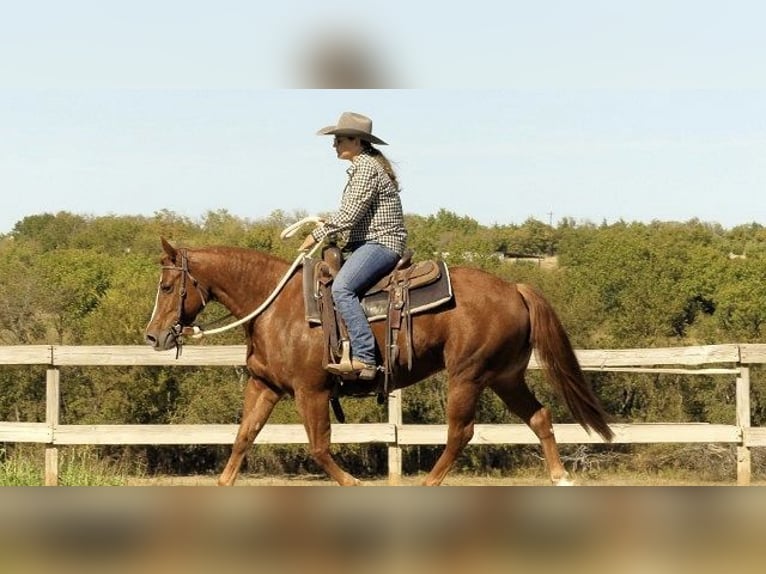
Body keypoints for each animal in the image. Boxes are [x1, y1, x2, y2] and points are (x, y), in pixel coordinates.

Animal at [144, 236, 614, 486]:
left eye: (167, 286)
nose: (153, 336)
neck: (277, 307)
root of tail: (514, 287)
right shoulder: (265, 386)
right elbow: (244, 436)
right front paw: (223, 484)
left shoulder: (311, 390)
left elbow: (318, 446)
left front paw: (350, 482)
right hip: (505, 377)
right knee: (540, 417)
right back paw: (559, 476)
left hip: (468, 375)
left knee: (461, 432)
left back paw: (429, 484)